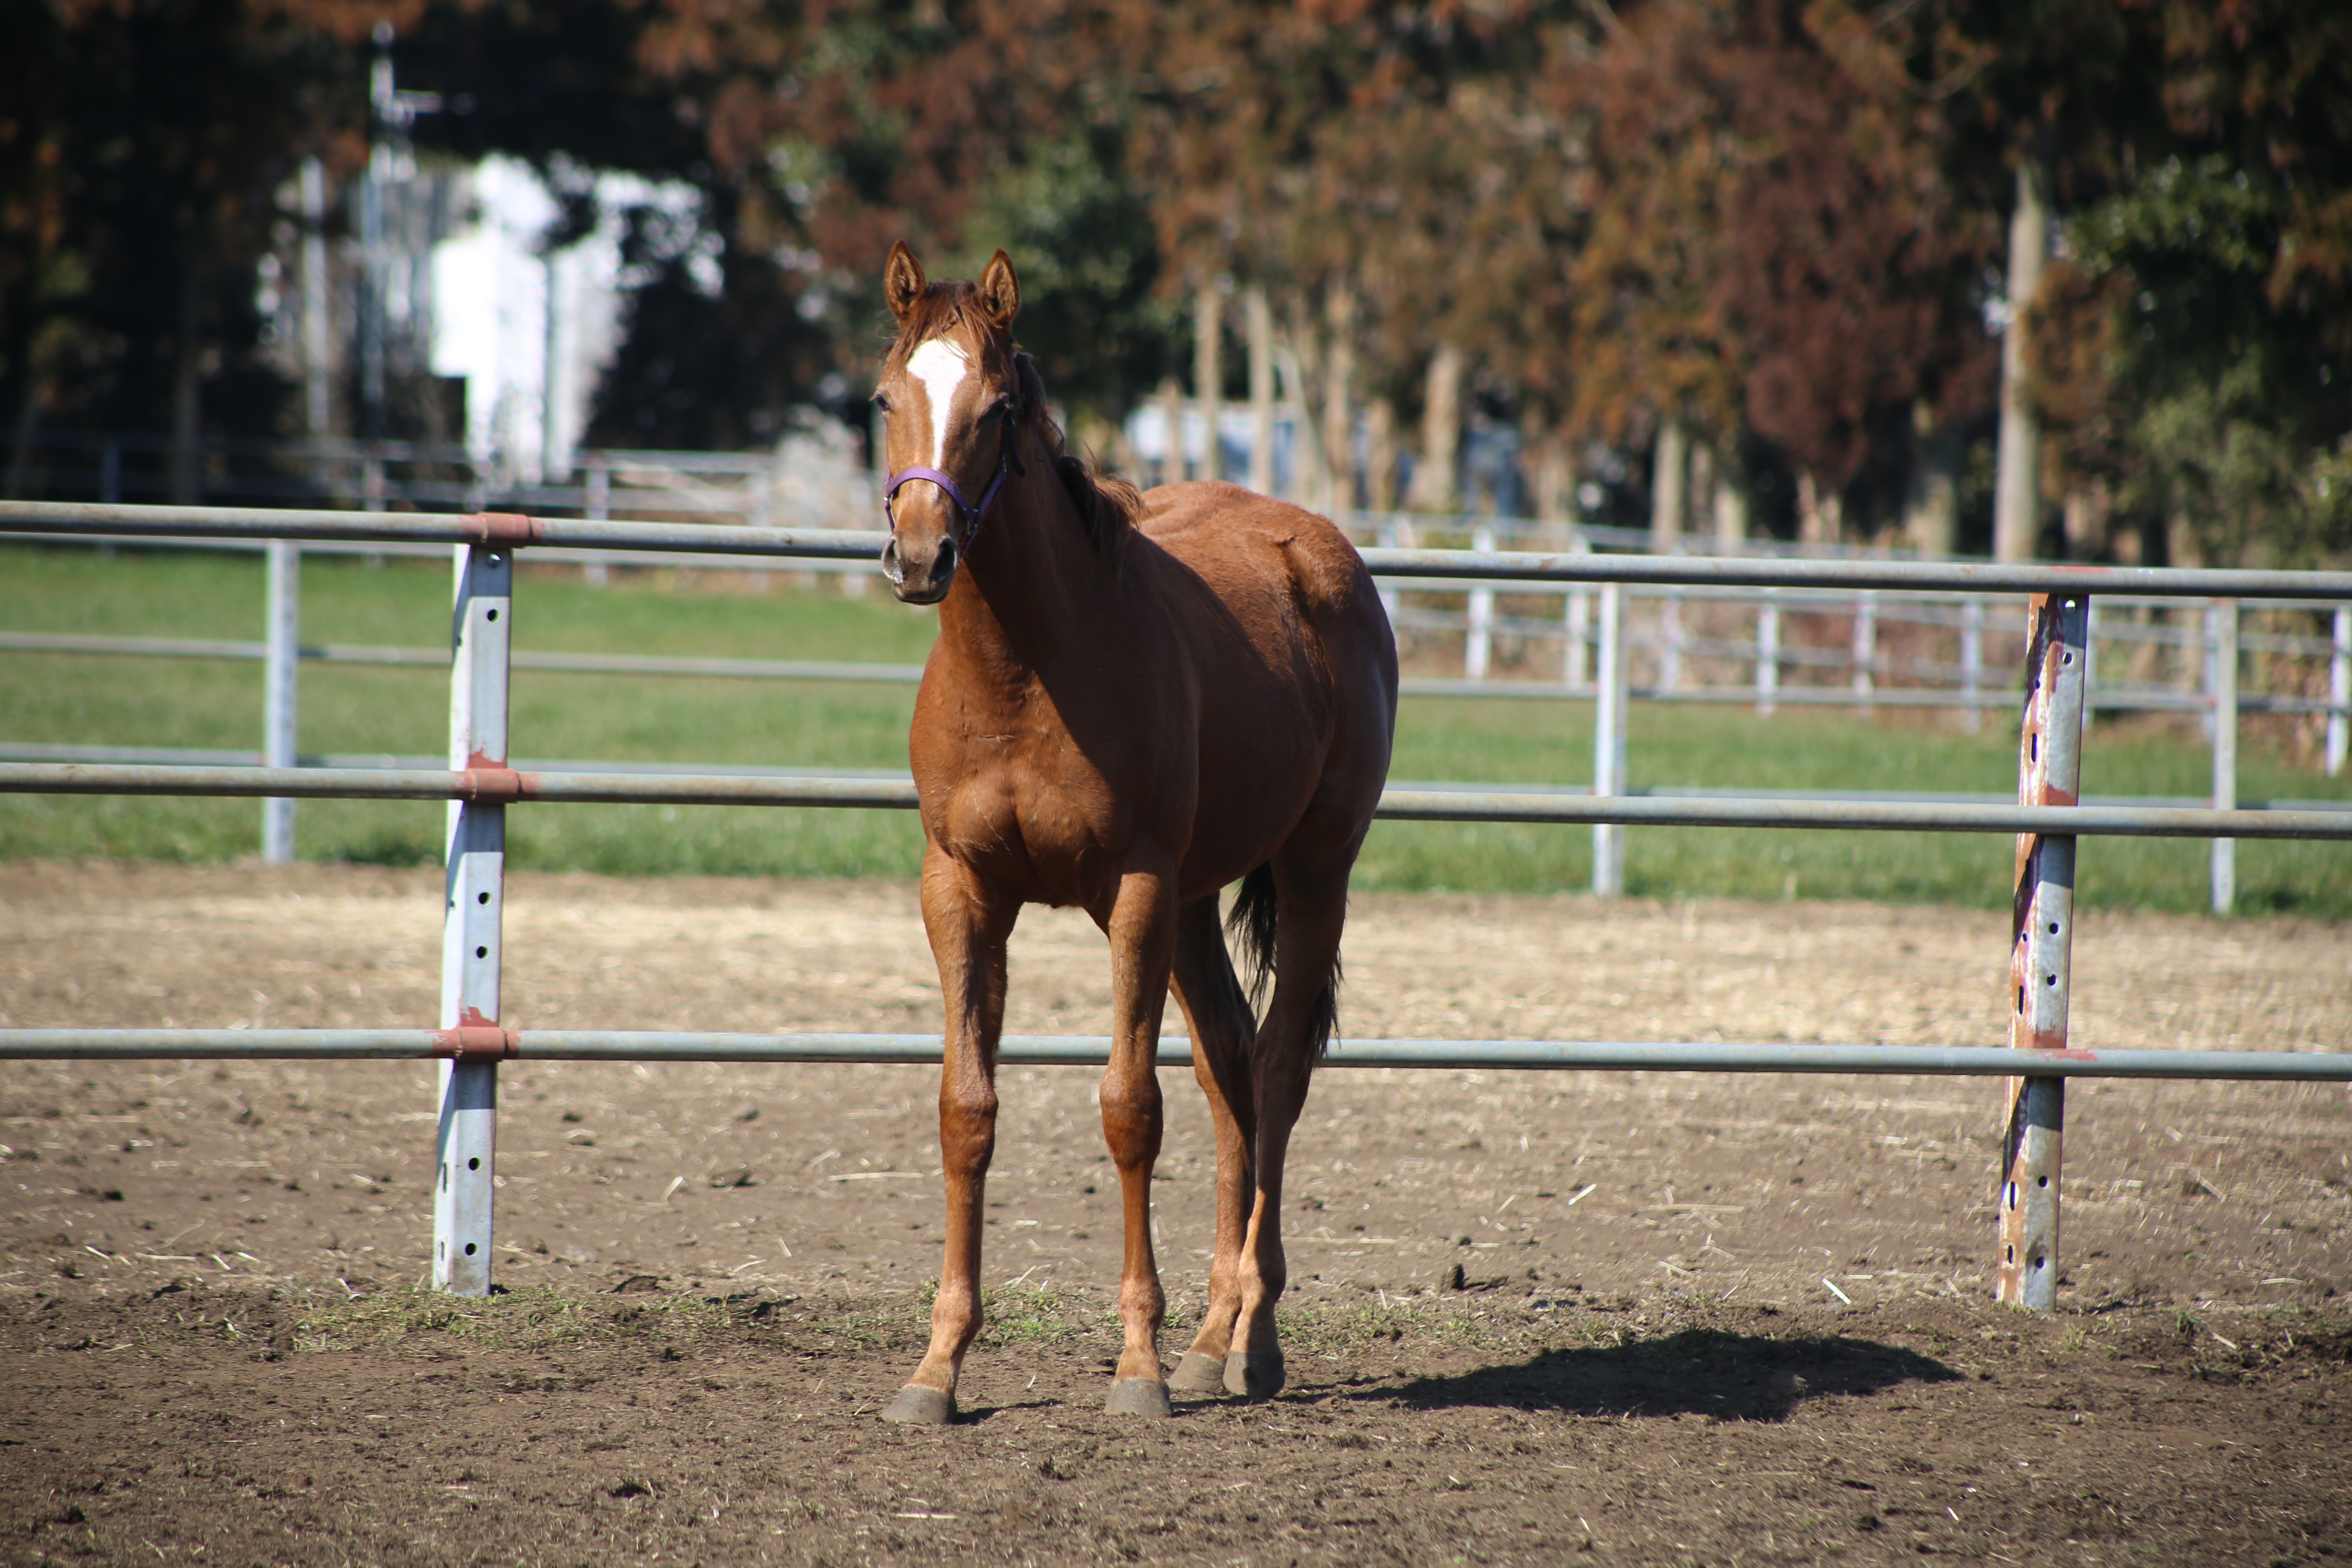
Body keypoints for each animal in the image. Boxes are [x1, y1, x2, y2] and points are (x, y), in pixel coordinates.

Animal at [875, 242, 1392, 1420]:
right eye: (884, 399)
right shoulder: (960, 888)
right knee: (1231, 1066)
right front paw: (938, 1367)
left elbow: (1128, 1110)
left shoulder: (1137, 891)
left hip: (1313, 873)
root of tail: (1320, 550)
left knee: (1279, 1070)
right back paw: (1213, 1338)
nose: (922, 557)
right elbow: (966, 1110)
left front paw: (1138, 1368)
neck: (1029, 673)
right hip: (1200, 905)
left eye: (999, 406)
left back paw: (1254, 1334)